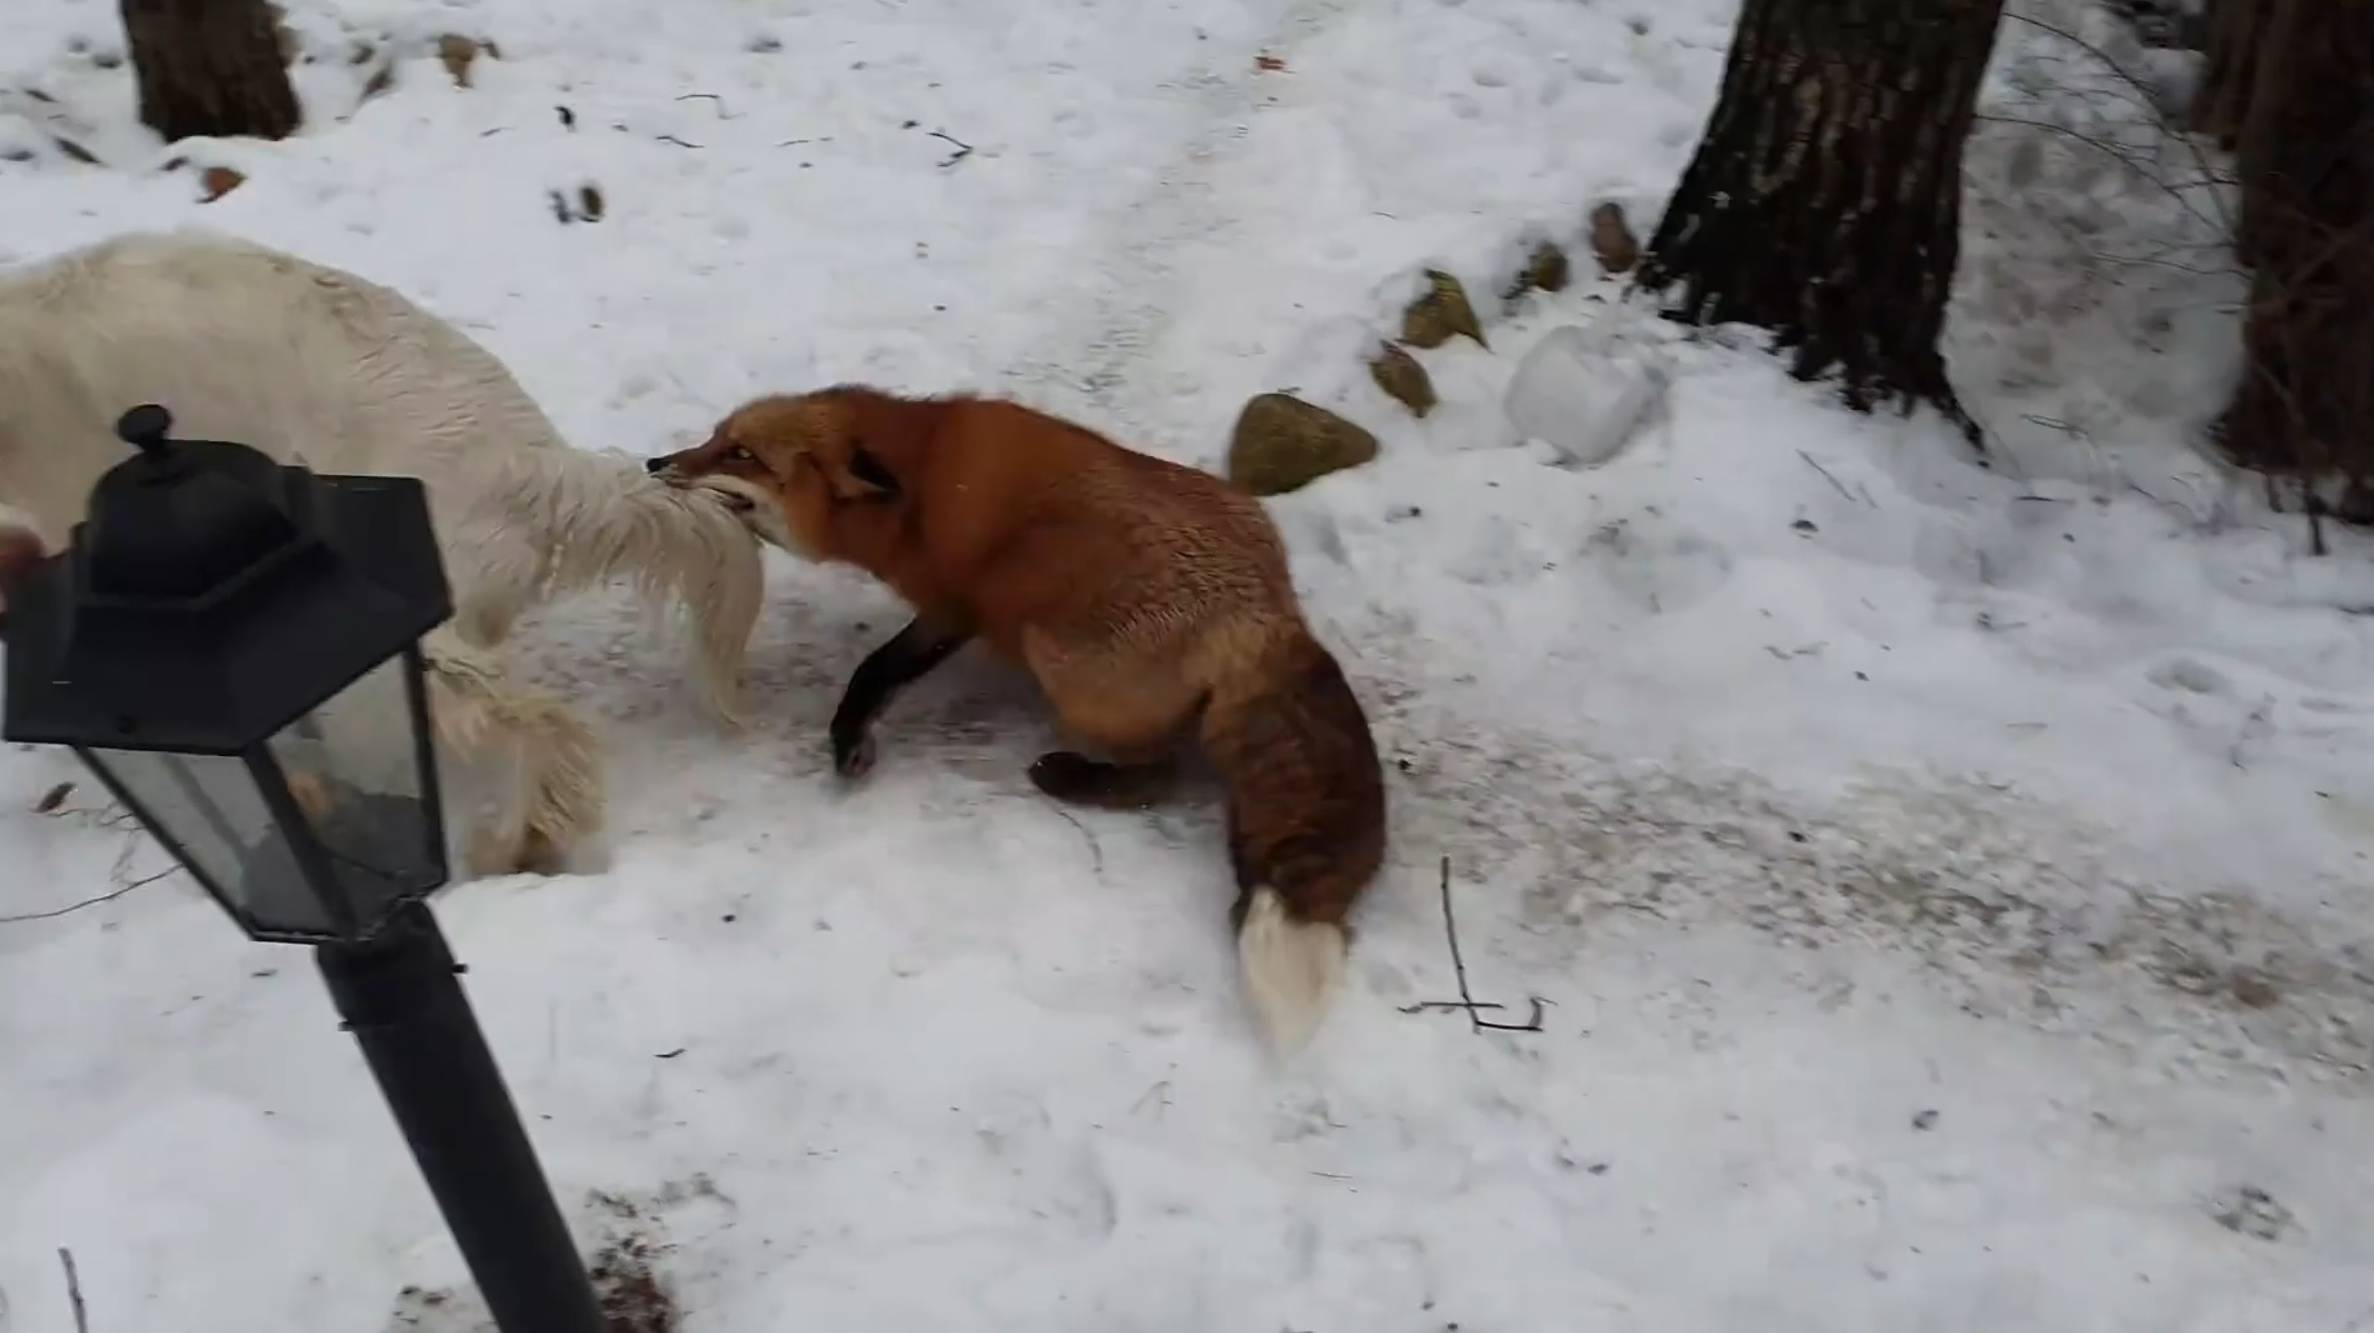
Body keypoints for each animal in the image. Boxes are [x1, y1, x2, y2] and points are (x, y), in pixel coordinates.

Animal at [650, 384, 1386, 1050]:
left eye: (743, 454)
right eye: (715, 438)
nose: (655, 462)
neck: (922, 483)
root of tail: (1266, 613)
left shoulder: (955, 605)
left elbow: (875, 671)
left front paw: (850, 740)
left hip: (1058, 656)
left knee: (1162, 773)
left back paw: (1074, 777)